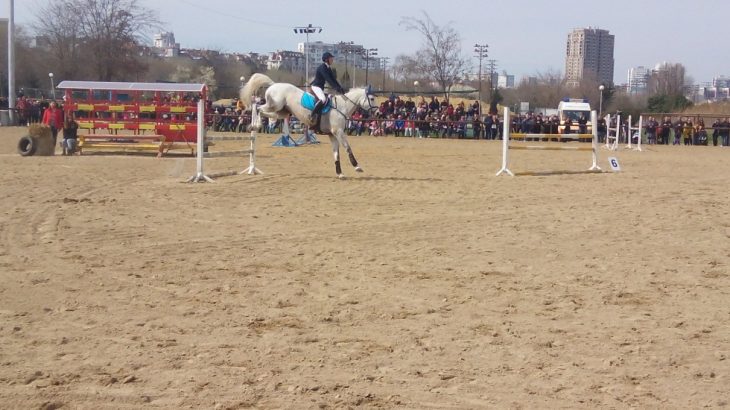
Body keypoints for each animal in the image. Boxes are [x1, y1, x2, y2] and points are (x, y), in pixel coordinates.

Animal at [241, 73, 377, 178]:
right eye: (372, 98)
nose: (377, 113)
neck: (342, 106)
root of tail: (274, 84)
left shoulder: (332, 135)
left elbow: (336, 153)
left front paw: (340, 174)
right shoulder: (338, 132)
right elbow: (347, 148)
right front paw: (357, 167)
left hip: (281, 112)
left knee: (263, 111)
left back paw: (253, 126)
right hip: (274, 105)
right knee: (257, 107)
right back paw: (254, 125)